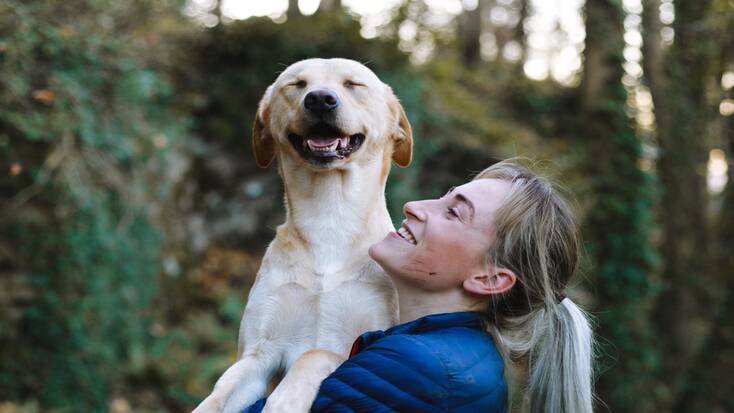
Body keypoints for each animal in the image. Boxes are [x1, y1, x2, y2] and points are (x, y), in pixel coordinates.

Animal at [194, 57, 414, 412]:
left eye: (354, 84)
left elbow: (314, 354)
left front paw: (284, 402)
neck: (329, 219)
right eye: (296, 85)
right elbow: (219, 394)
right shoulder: (258, 355)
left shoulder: (363, 344)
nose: (320, 99)